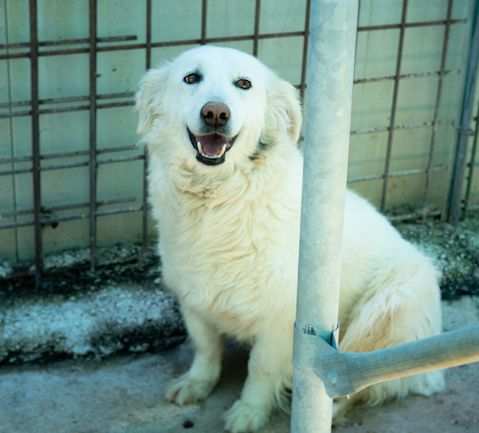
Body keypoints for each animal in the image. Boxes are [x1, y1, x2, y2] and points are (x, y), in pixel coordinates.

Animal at [136, 45, 446, 430]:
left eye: (244, 84)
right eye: (191, 78)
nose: (216, 114)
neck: (221, 199)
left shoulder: (281, 321)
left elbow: (260, 369)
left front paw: (249, 412)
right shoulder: (194, 299)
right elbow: (206, 348)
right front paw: (196, 383)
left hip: (387, 307)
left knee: (367, 380)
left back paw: (333, 411)